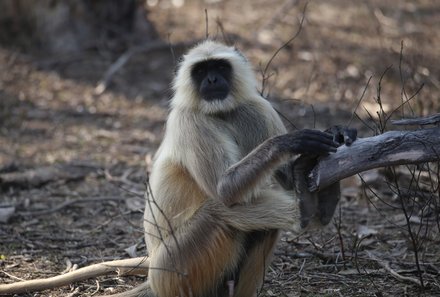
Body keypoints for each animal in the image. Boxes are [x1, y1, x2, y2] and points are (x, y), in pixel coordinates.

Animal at [139, 40, 342, 296]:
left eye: (220, 67)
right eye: (201, 71)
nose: (212, 80)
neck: (220, 113)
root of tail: (152, 277)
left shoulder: (257, 107)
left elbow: (286, 178)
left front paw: (313, 157)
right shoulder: (189, 119)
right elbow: (224, 190)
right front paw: (289, 142)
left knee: (261, 226)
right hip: (172, 271)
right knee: (217, 209)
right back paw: (308, 210)